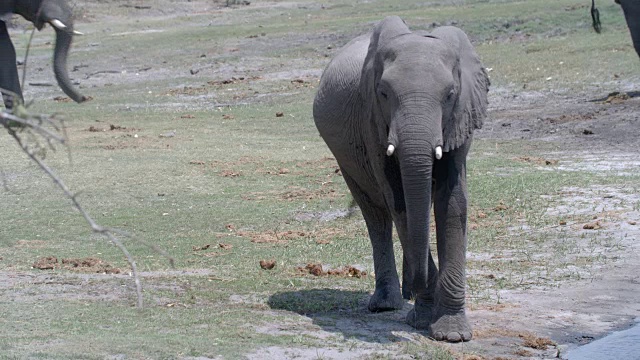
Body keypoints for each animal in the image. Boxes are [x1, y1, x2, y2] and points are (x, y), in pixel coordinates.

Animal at [312, 16, 488, 344]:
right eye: (383, 93)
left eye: (450, 94)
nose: (421, 286)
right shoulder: (372, 122)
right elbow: (400, 201)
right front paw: (423, 319)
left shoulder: (461, 118)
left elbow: (453, 203)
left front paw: (452, 334)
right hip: (346, 158)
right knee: (376, 215)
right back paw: (388, 304)